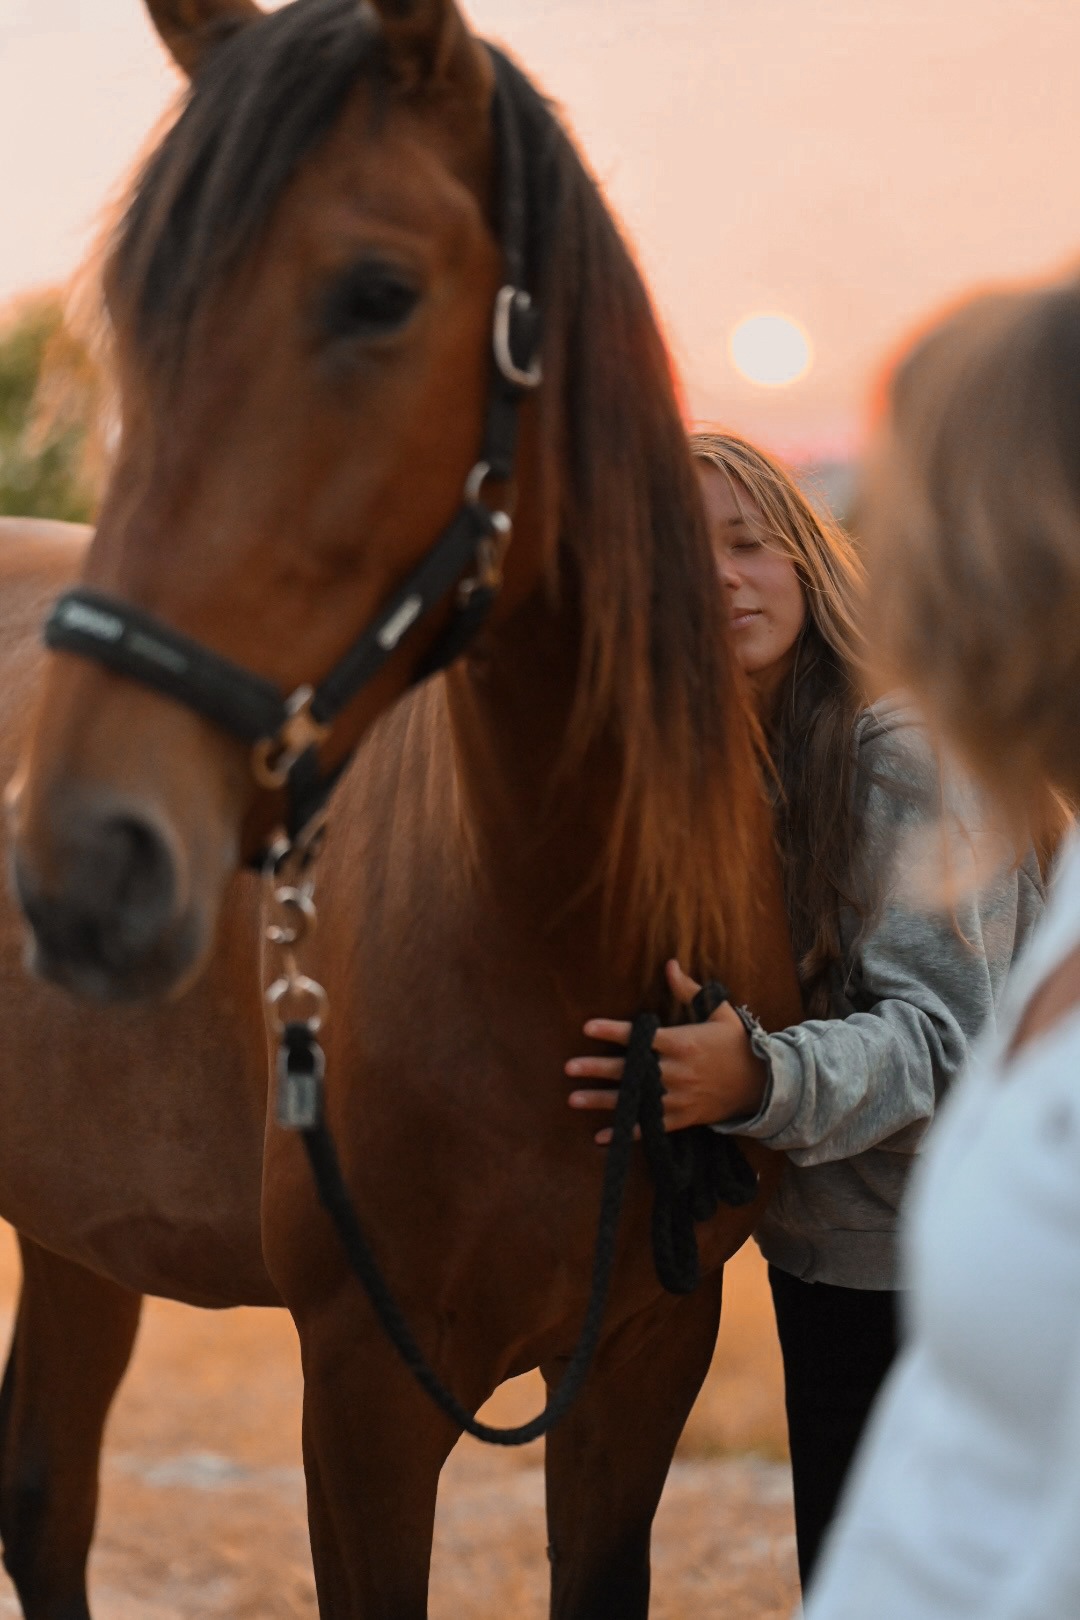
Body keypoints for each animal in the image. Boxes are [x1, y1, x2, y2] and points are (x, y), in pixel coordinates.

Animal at [6, 2, 802, 1615]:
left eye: (377, 293)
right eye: (135, 314)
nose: (82, 864)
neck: (560, 945)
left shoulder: (645, 1361)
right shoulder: (366, 1389)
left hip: (75, 1238)